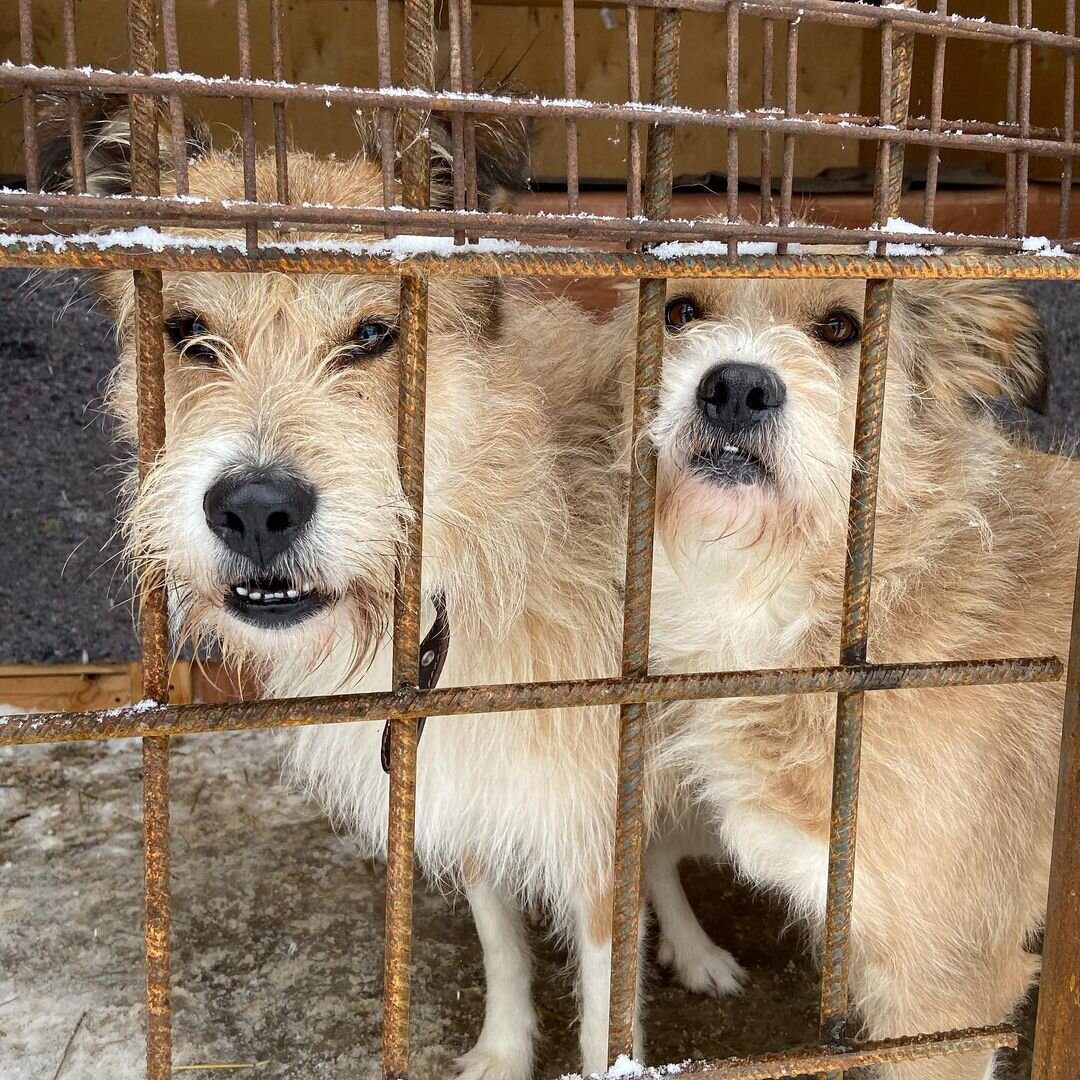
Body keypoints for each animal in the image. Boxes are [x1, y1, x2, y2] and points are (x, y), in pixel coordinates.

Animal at [35, 97, 743, 1075]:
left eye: (374, 334)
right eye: (186, 332)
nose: (254, 509)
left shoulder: (594, 810)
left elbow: (609, 991)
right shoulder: (458, 791)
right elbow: (501, 943)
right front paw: (502, 1050)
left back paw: (700, 949)